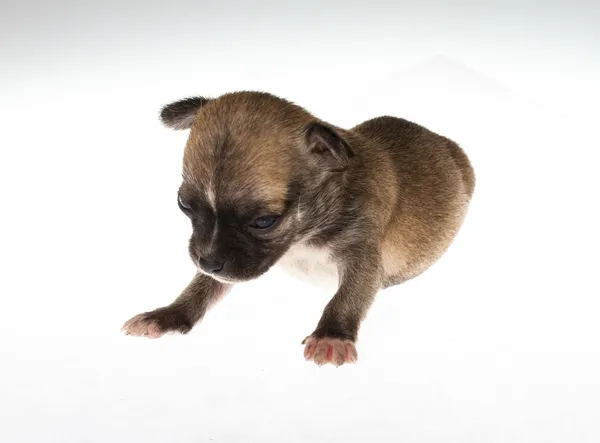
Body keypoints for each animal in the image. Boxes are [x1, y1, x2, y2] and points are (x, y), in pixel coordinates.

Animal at [122, 91, 476, 368]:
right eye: (184, 205)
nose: (207, 262)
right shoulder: (224, 261)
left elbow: (348, 295)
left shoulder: (362, 255)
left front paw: (331, 336)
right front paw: (168, 315)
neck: (303, 236)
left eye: (264, 221)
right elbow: (202, 286)